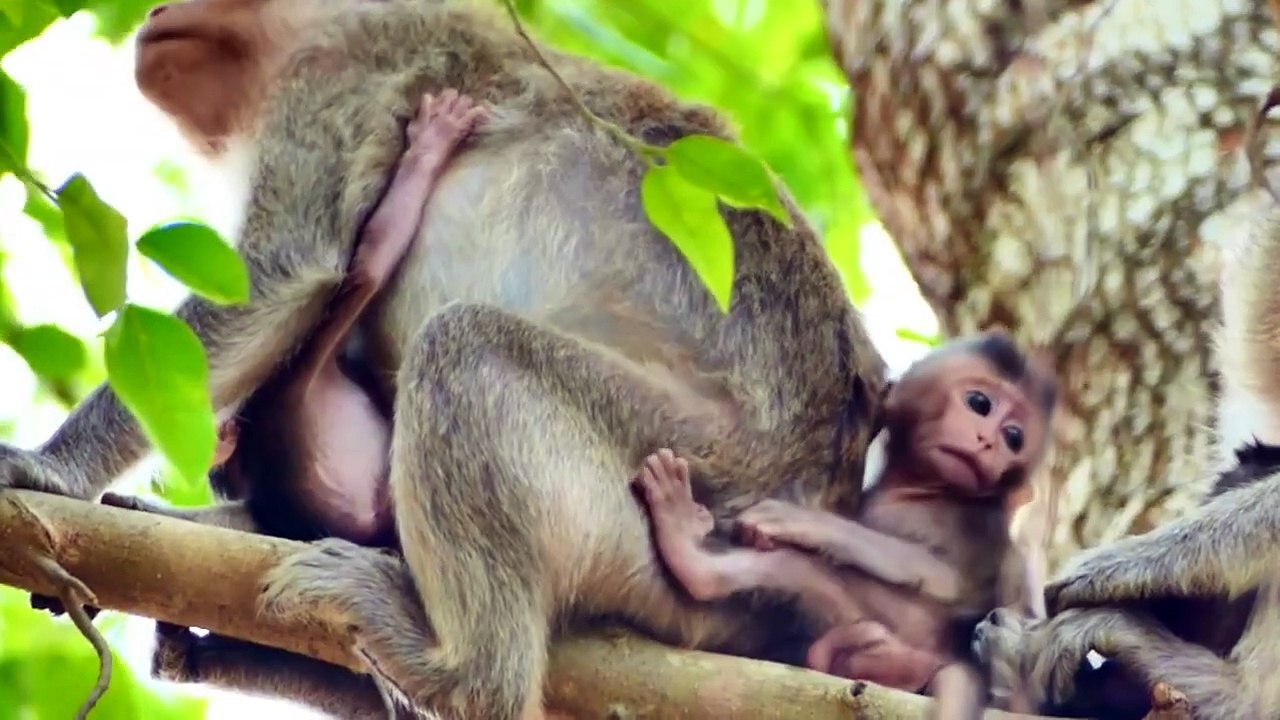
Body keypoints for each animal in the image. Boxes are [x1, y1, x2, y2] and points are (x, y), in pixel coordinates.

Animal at [0, 0, 891, 718]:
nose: (156, 9)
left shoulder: (335, 73)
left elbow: (288, 270)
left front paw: (52, 471)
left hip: (685, 486)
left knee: (468, 347)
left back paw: (461, 673)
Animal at [633, 330, 1056, 713]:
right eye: (980, 403)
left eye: (1014, 438)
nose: (989, 442)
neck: (924, 488)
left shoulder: (981, 522)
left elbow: (946, 577)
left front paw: (797, 521)